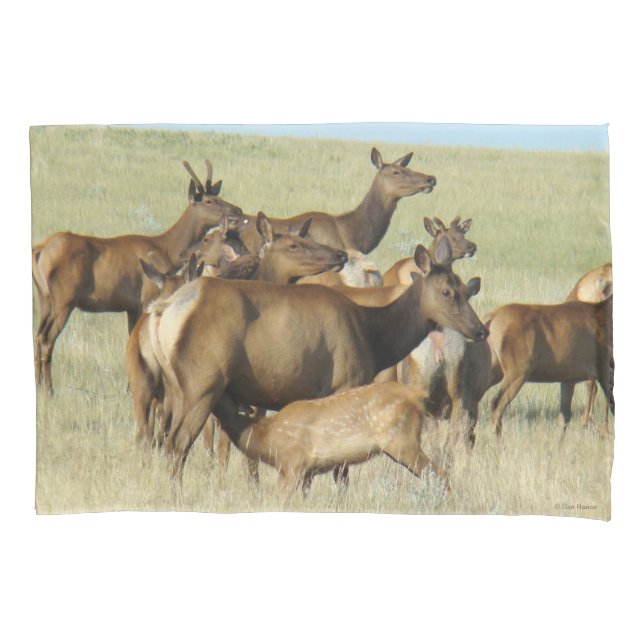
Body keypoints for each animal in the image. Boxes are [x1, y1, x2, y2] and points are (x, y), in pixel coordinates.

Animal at [32, 160, 243, 396]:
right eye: (208, 200)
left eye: (219, 195)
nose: (237, 211)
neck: (166, 250)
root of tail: (40, 250)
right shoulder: (146, 297)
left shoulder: (131, 307)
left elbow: (130, 339)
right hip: (64, 299)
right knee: (47, 338)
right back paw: (49, 391)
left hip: (44, 298)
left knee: (37, 335)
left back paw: (38, 385)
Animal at [148, 236, 488, 479]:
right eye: (446, 292)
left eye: (465, 288)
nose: (481, 329)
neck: (374, 337)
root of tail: (165, 310)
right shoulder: (345, 381)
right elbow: (341, 468)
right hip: (202, 383)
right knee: (178, 443)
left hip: (176, 387)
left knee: (166, 439)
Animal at [217, 382, 449, 501]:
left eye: (222, 392)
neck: (267, 439)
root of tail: (417, 396)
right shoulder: (308, 471)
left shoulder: (293, 462)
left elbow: (281, 499)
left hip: (403, 441)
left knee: (440, 473)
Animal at [485, 297, 614, 439]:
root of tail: (491, 318)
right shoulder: (606, 372)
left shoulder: (568, 378)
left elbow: (564, 418)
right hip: (518, 373)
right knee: (496, 405)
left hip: (494, 371)